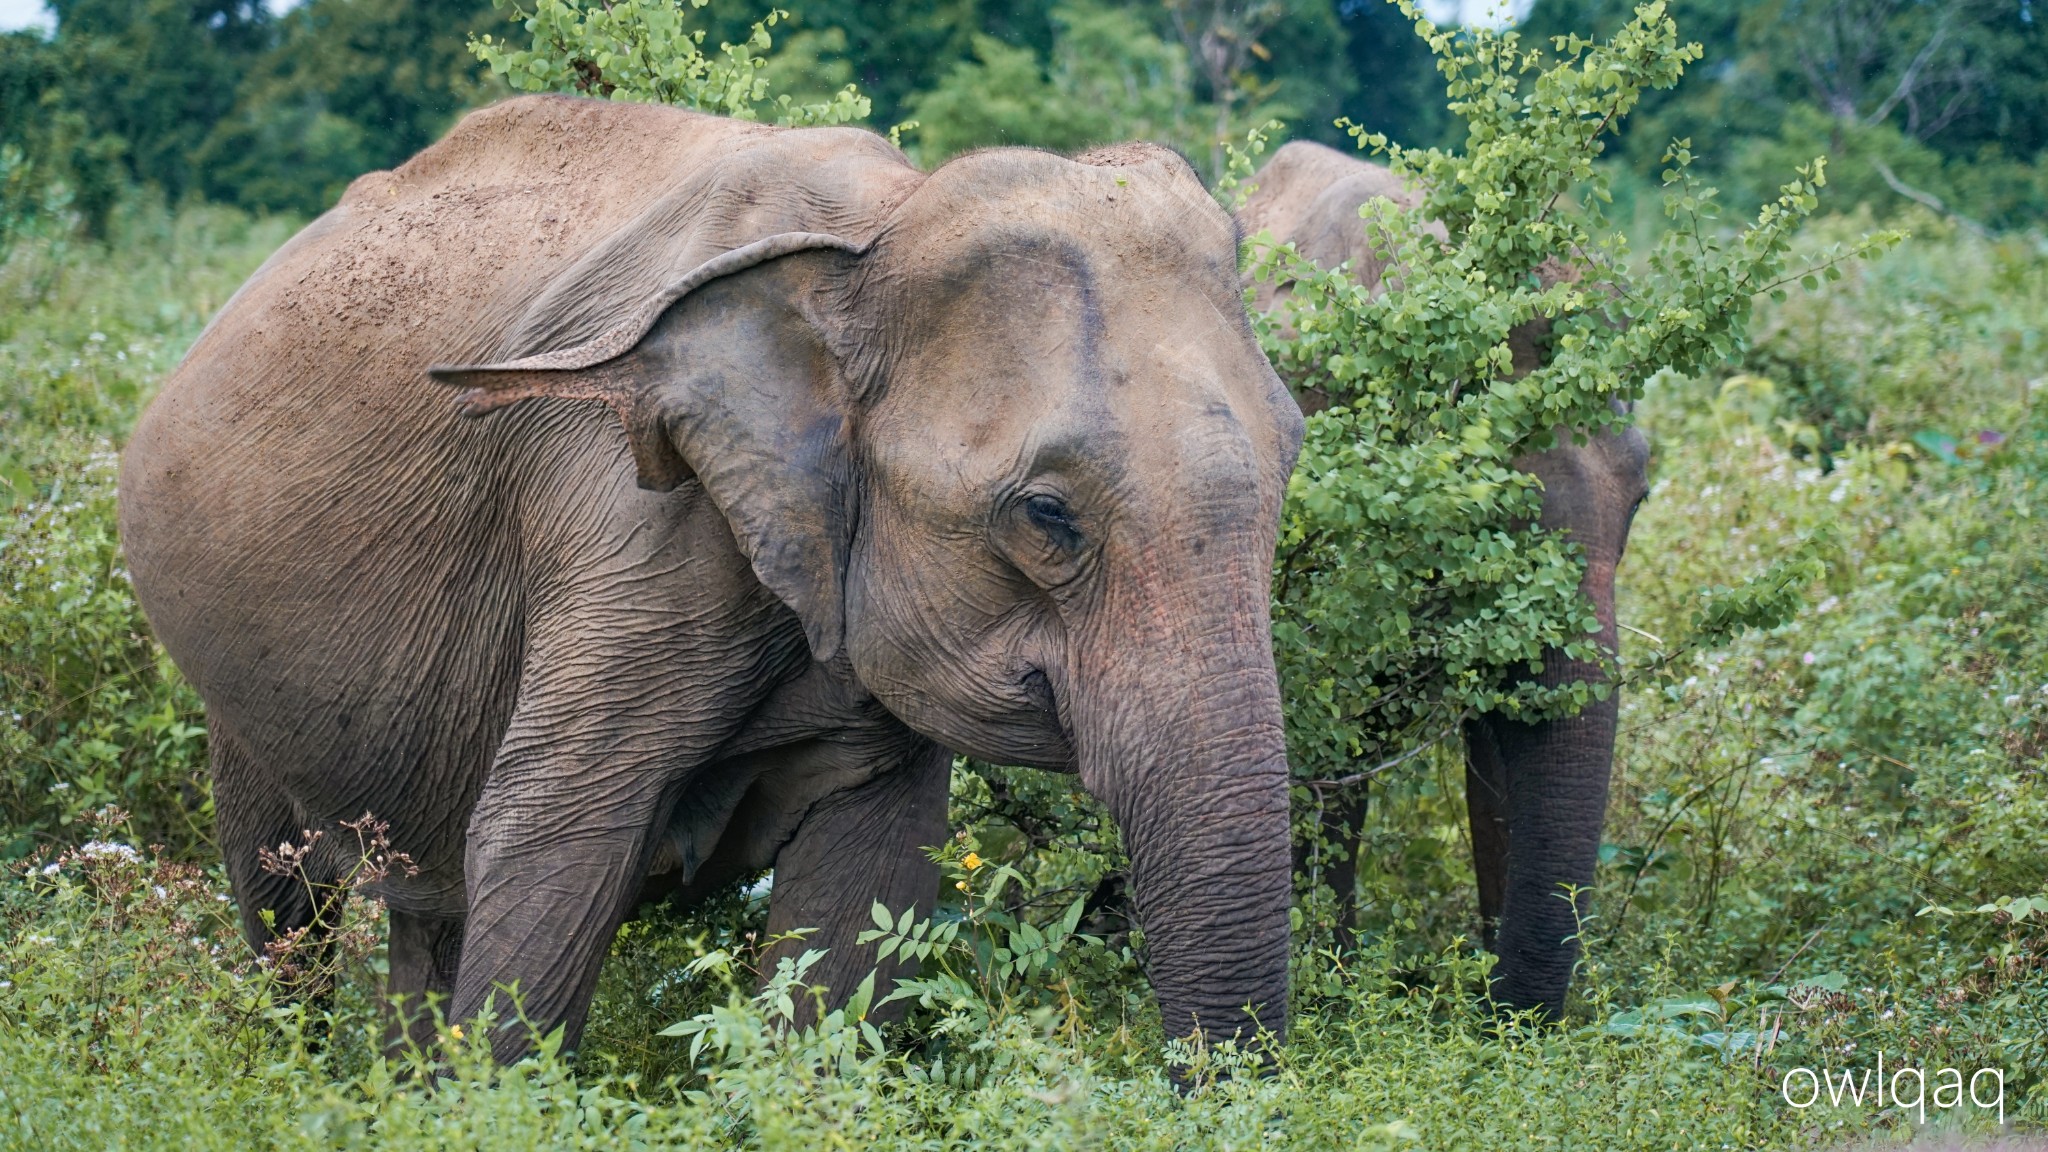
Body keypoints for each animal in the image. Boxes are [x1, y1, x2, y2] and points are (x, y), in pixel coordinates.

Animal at [128, 94, 1302, 1057]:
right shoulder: (625, 518)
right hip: (233, 686)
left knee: (425, 909)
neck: (876, 231)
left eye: (1293, 455)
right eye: (1046, 516)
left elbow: (868, 891)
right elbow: (546, 845)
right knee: (284, 898)